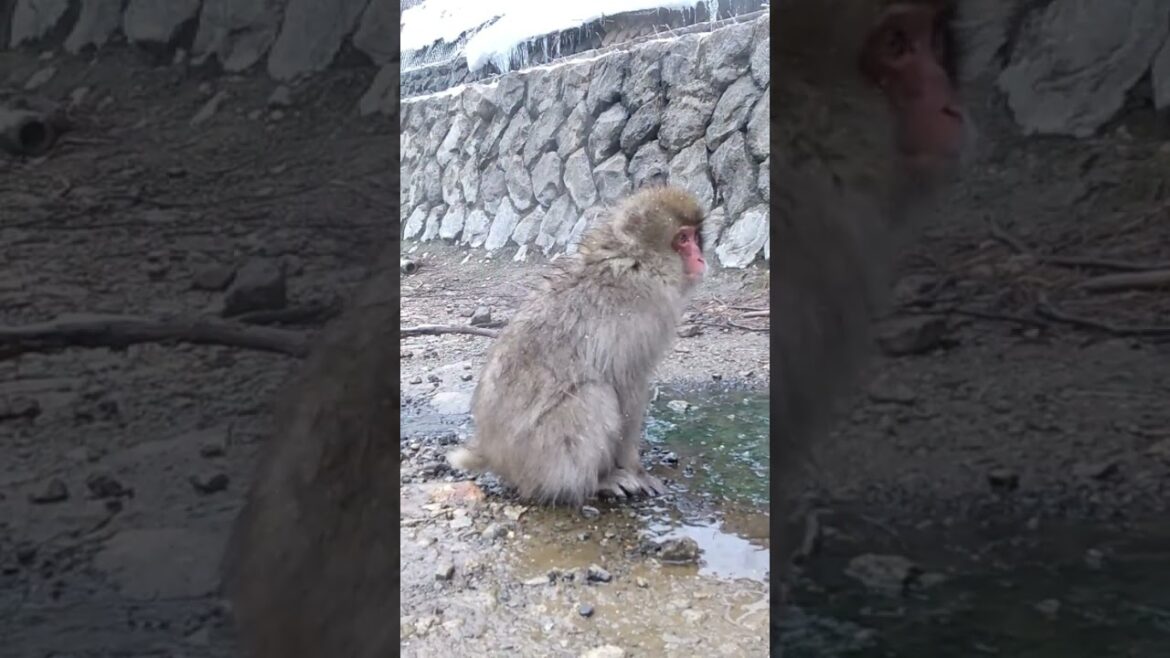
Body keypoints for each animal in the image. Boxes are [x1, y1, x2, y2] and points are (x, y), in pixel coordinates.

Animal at [447, 186, 708, 506]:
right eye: (682, 239)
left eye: (695, 236)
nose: (700, 258)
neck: (636, 261)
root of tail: (493, 454)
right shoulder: (639, 319)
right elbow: (626, 389)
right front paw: (636, 469)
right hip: (545, 453)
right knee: (595, 394)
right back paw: (594, 483)